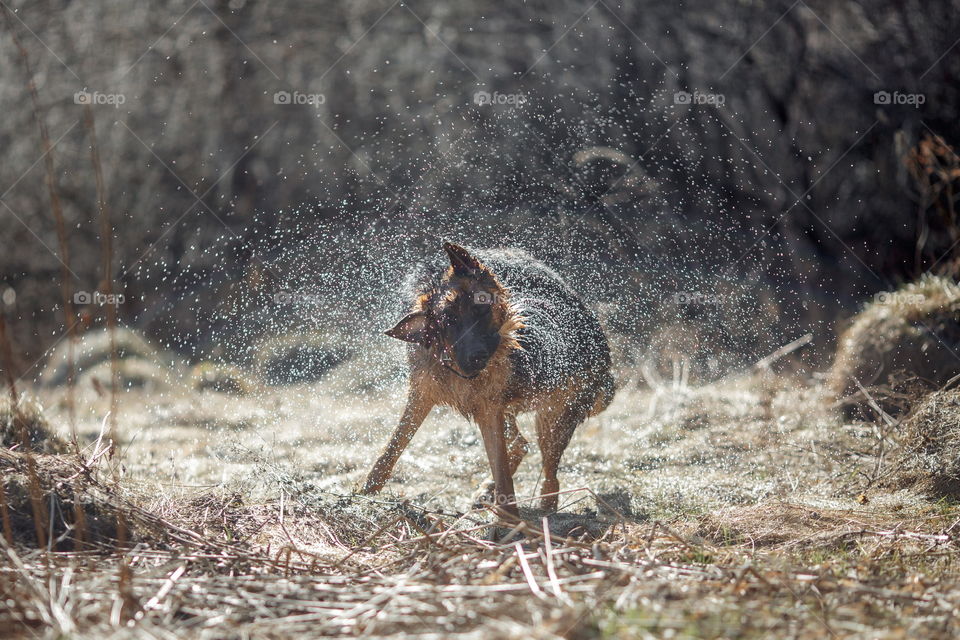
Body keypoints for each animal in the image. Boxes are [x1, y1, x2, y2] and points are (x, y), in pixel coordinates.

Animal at [360, 242, 616, 516]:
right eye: (446, 322)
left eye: (480, 304)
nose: (475, 357)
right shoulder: (422, 394)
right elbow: (391, 449)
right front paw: (364, 493)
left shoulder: (490, 410)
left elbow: (503, 470)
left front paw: (510, 517)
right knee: (520, 443)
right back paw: (488, 491)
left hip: (554, 418)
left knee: (549, 470)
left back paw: (545, 507)